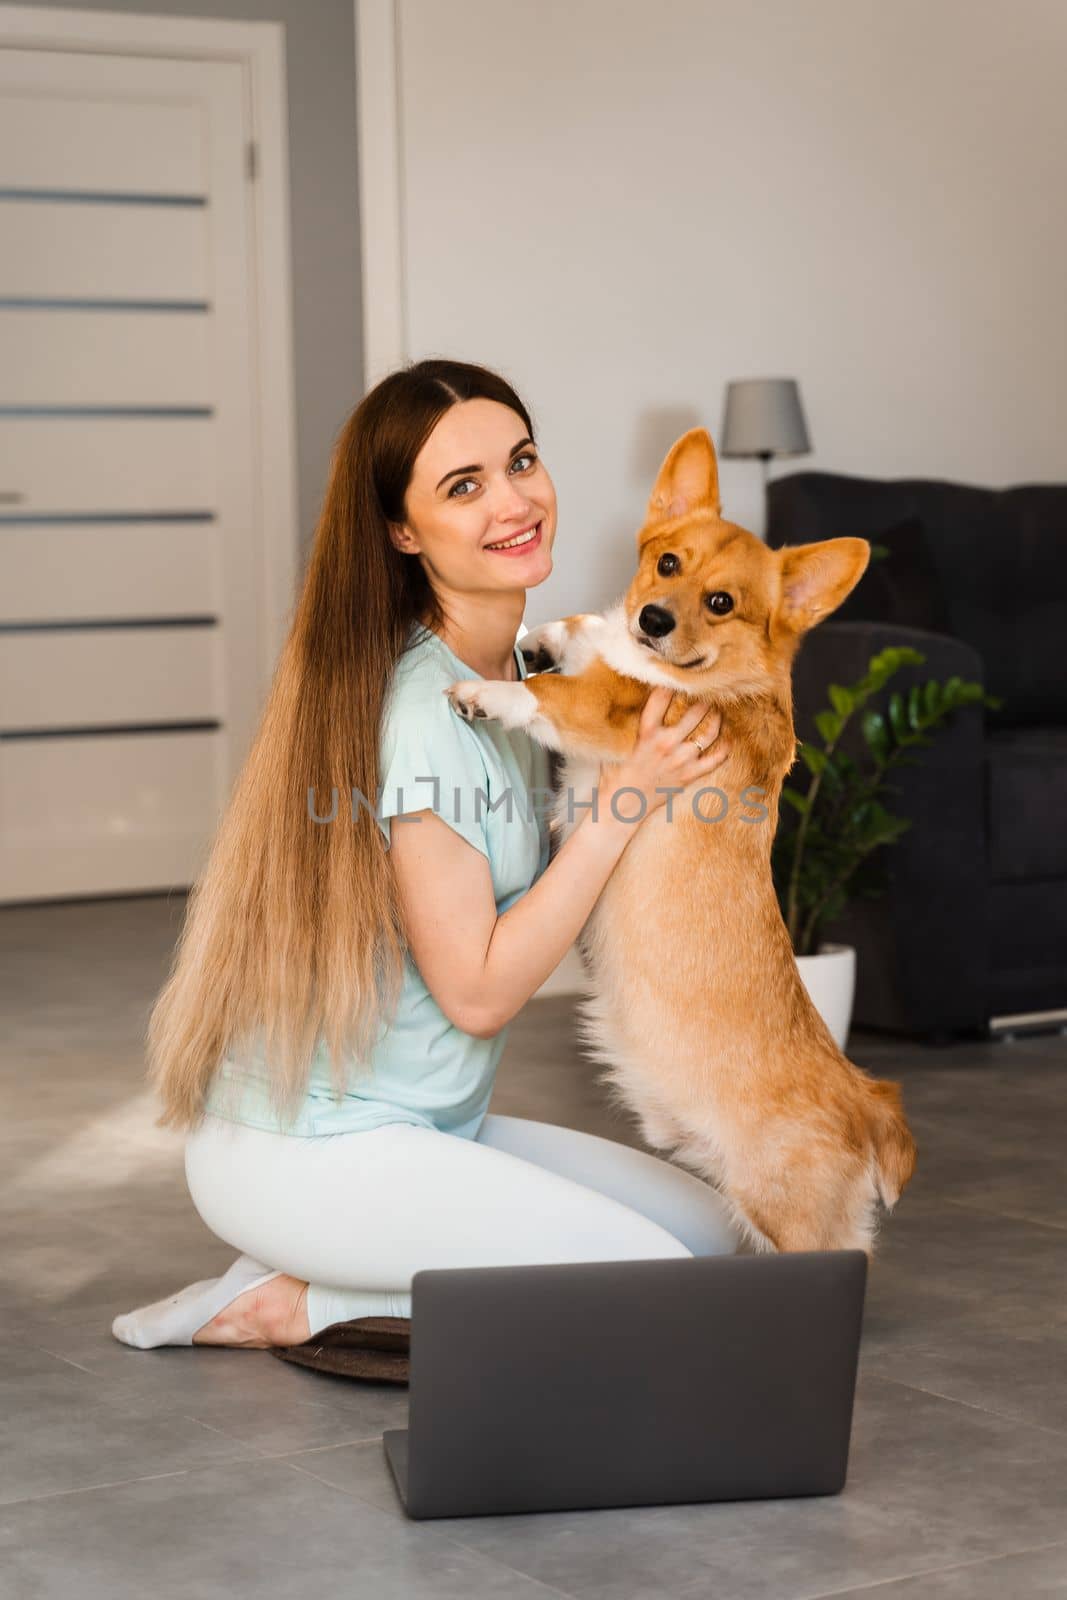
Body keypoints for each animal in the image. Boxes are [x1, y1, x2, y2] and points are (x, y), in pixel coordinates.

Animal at [444, 428, 921, 1260]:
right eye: (666, 563)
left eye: (721, 602)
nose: (654, 619)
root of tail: (867, 1101)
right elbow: (579, 633)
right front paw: (550, 632)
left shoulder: (610, 711)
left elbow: (551, 693)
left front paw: (491, 689)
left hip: (788, 1214)